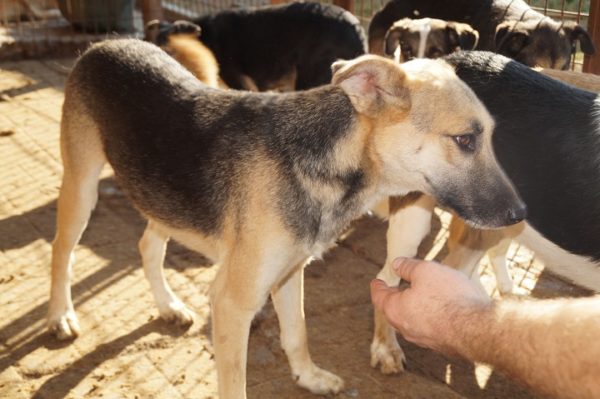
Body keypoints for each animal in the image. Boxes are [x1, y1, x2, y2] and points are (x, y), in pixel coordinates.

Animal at [47, 39, 524, 398]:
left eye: (490, 136)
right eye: (464, 140)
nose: (521, 214)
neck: (320, 161)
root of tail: (103, 44)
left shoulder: (290, 273)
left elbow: (297, 333)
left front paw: (309, 378)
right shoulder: (232, 303)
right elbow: (234, 385)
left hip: (162, 197)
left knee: (147, 244)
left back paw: (168, 306)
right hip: (82, 188)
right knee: (61, 251)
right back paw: (60, 316)